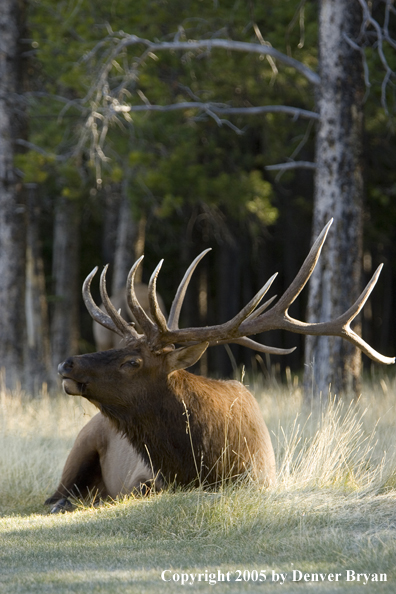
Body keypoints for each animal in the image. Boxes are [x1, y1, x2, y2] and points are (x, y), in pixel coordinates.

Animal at [46, 220, 392, 512]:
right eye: (118, 347)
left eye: (133, 361)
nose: (67, 363)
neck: (202, 464)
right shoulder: (144, 477)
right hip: (82, 443)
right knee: (55, 493)